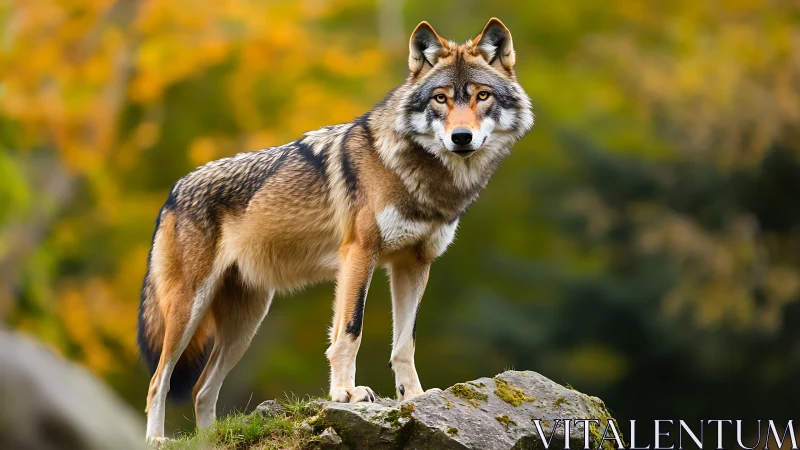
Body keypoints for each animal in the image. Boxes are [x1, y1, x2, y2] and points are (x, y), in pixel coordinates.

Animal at [137, 17, 533, 440]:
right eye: (440, 99)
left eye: (482, 96)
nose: (461, 138)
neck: (419, 177)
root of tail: (174, 192)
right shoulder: (359, 253)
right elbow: (350, 331)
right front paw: (346, 393)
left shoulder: (414, 264)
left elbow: (404, 343)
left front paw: (415, 397)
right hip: (189, 310)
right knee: (158, 381)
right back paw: (157, 439)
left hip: (246, 323)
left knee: (201, 389)